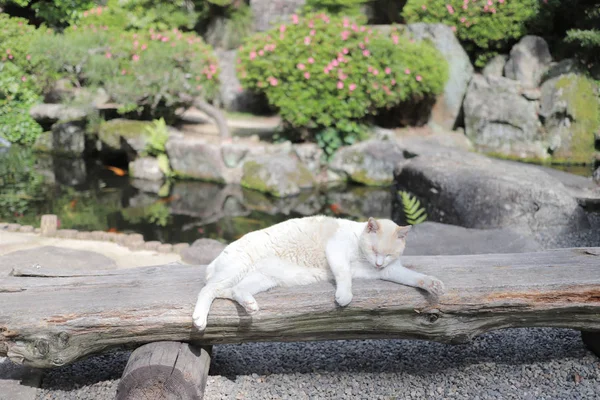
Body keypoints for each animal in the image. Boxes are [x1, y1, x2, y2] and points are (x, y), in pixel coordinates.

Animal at [192, 216, 446, 332]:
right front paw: (344, 296)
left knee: (235, 291)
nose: (377, 263)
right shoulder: (336, 251)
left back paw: (250, 305)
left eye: (389, 254)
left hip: (261, 279)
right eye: (374, 250)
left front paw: (433, 284)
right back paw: (199, 319)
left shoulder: (391, 270)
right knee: (207, 290)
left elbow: (414, 277)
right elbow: (344, 274)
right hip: (236, 269)